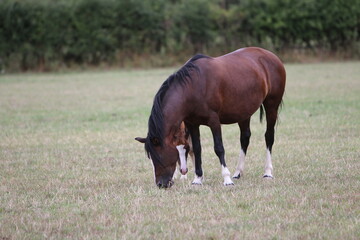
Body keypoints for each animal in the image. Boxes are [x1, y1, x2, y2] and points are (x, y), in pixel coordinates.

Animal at [134, 47, 286, 188]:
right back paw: (238, 172)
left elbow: (219, 148)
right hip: (243, 112)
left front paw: (227, 179)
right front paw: (197, 179)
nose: (161, 184)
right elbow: (197, 148)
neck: (192, 87)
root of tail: (272, 56)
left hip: (271, 105)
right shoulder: (192, 124)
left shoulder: (214, 121)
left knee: (269, 136)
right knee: (245, 138)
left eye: (158, 156)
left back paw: (267, 172)